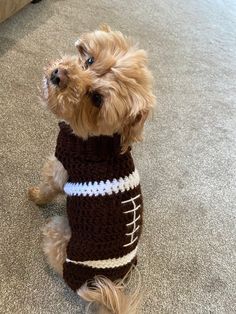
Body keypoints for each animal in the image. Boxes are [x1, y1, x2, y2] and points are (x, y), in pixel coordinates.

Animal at [28, 25, 155, 314]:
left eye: (96, 99)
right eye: (88, 60)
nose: (58, 75)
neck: (98, 139)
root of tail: (102, 288)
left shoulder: (59, 171)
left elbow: (47, 189)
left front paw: (35, 197)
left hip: (59, 232)